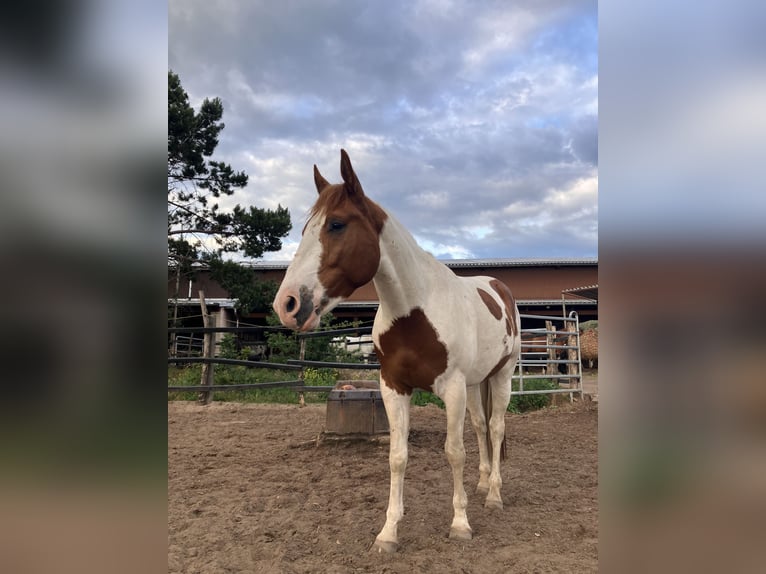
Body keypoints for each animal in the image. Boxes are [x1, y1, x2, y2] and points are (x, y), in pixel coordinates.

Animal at [274, 150, 520, 552]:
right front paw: (388, 532)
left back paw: (495, 495)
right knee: (481, 426)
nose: (288, 304)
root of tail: (499, 288)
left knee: (496, 428)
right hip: (475, 383)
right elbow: (397, 456)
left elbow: (454, 452)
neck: (415, 311)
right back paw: (483, 483)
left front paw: (460, 524)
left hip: (502, 374)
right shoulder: (393, 387)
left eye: (337, 225)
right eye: (305, 229)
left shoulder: (452, 389)